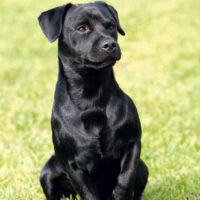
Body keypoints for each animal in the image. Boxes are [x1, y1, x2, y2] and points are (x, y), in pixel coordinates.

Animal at [38, 1, 148, 200]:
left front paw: (120, 192)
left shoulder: (133, 144)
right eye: (81, 28)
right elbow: (88, 193)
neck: (91, 96)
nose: (109, 44)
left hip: (143, 168)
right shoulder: (72, 164)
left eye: (111, 26)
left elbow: (125, 180)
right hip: (47, 173)